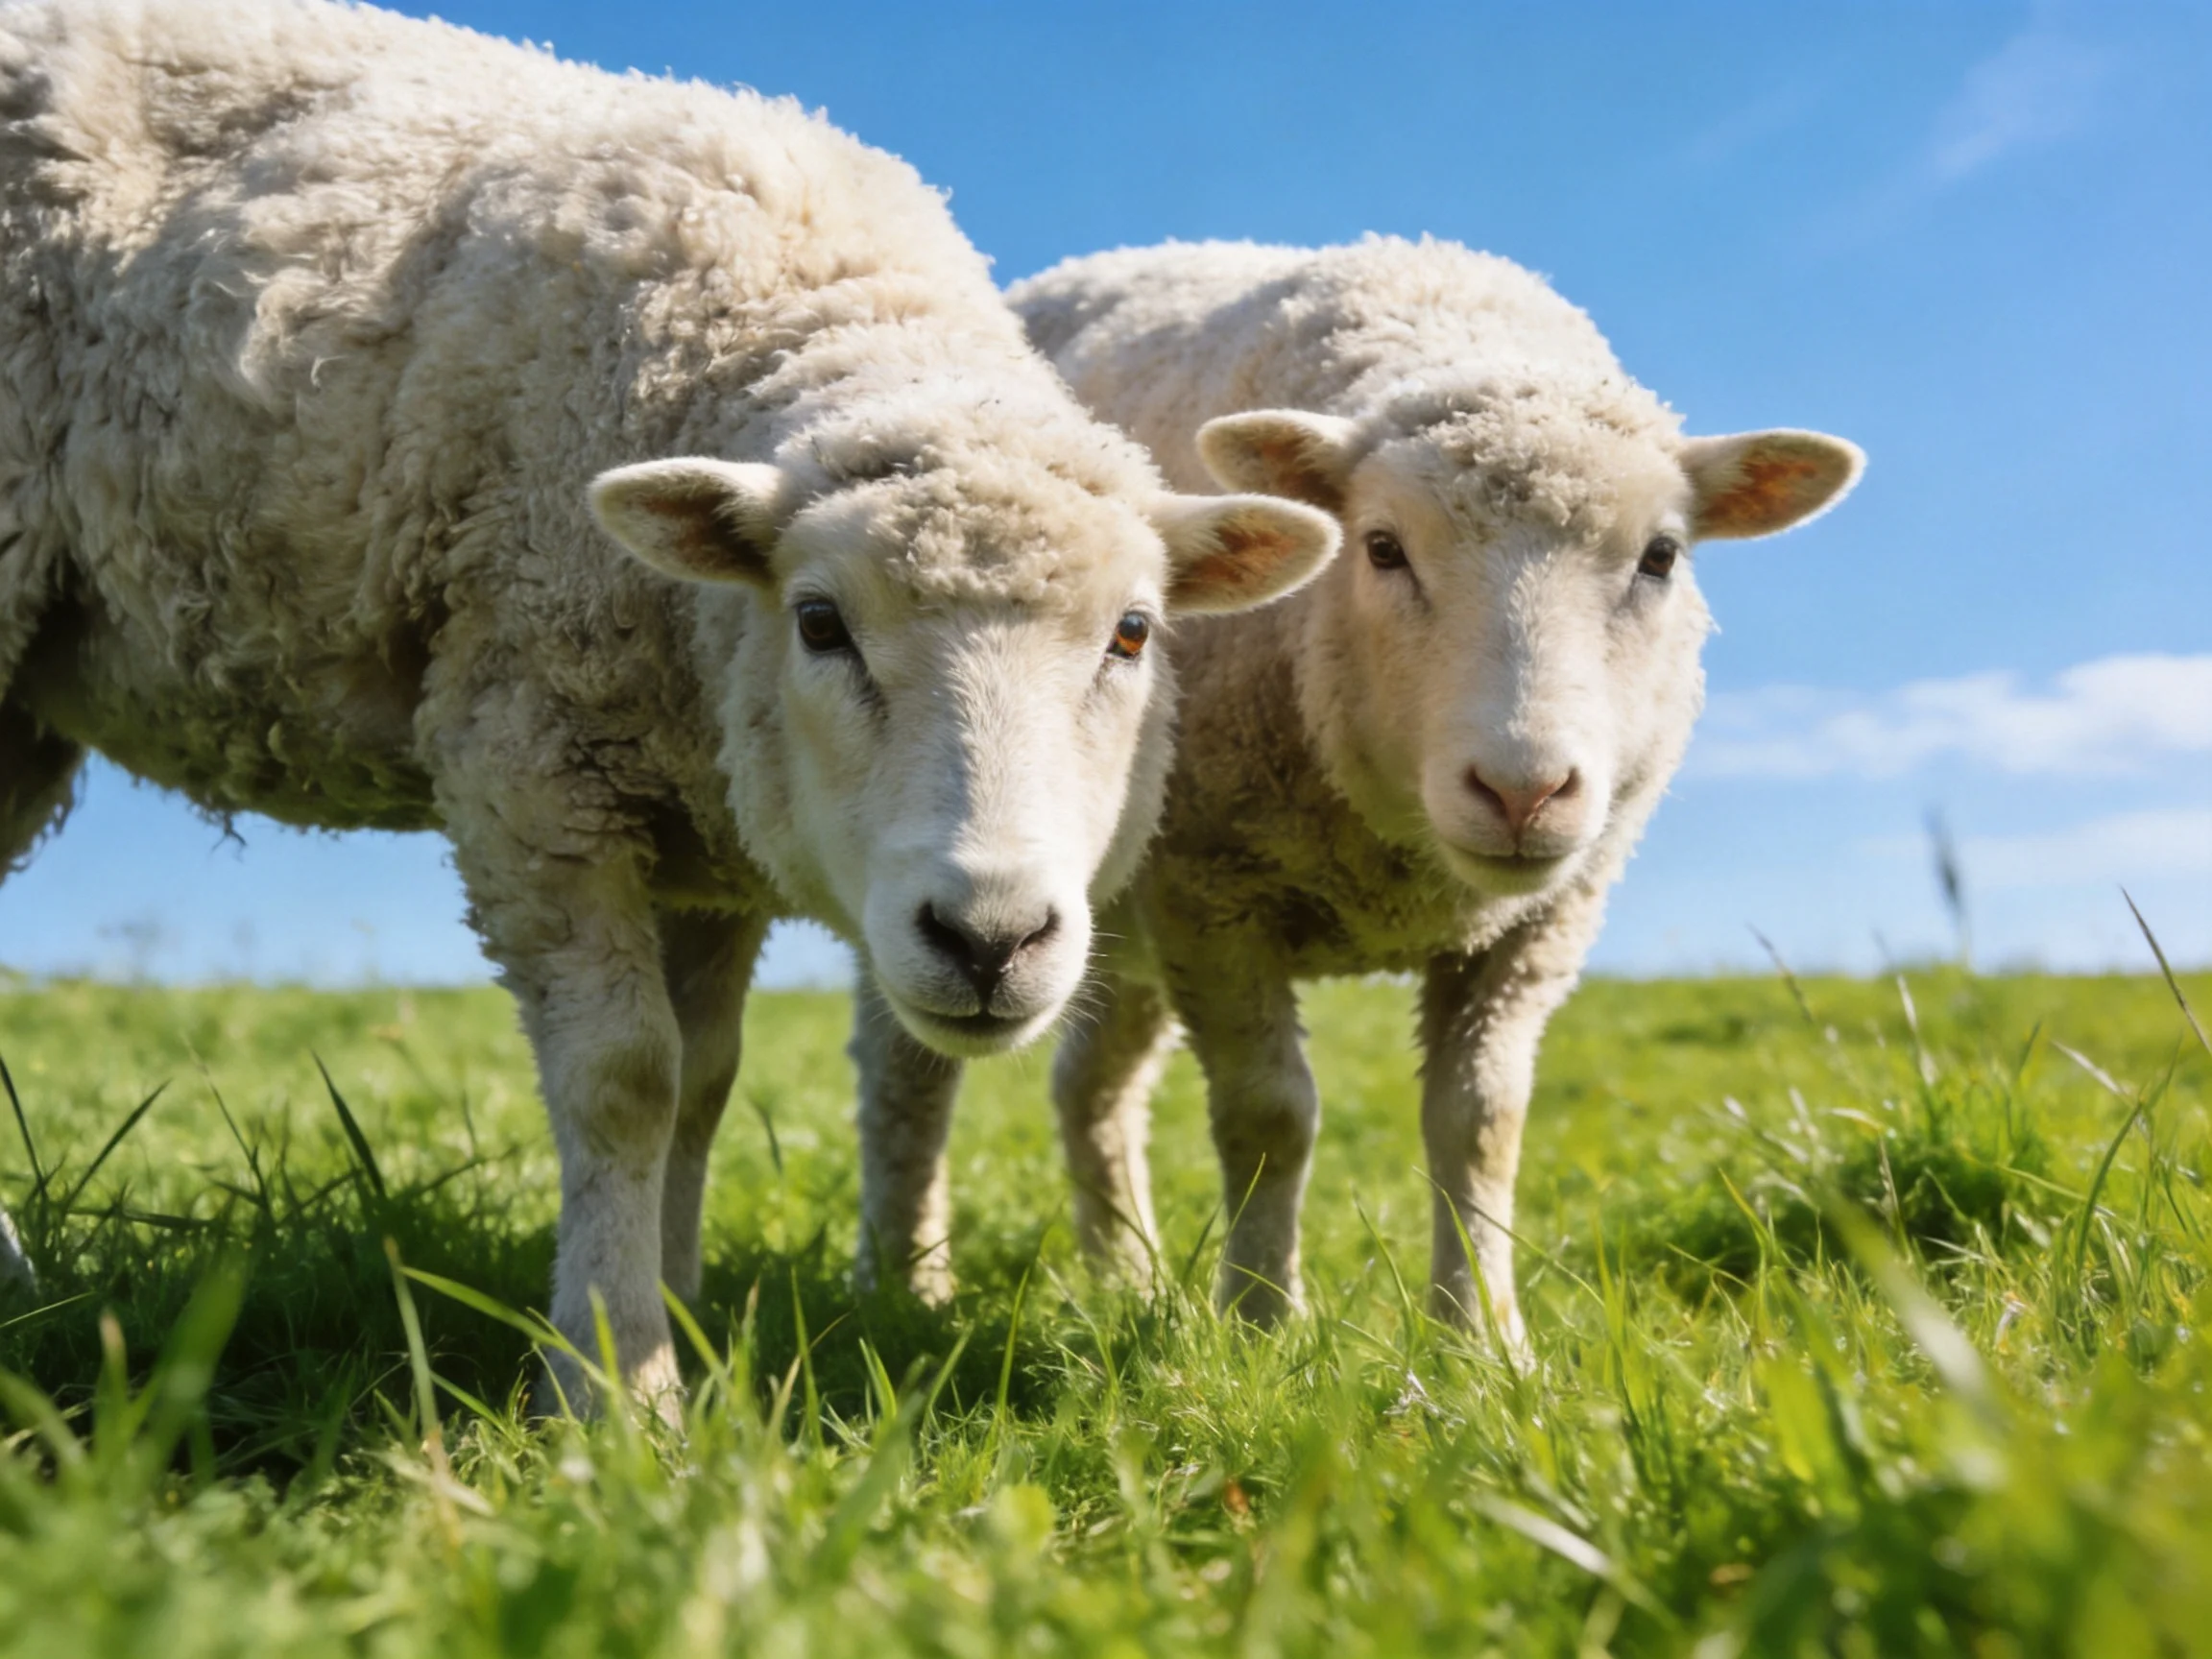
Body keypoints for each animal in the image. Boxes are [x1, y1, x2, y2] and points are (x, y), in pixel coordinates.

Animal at [0, 3, 1336, 1400]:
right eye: (819, 623)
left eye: (1134, 633)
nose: (989, 938)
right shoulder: (528, 765)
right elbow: (625, 1080)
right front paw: (613, 1377)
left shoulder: (707, 812)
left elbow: (705, 1080)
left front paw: (677, 1307)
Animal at [858, 235, 1860, 1337]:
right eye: (1381, 548)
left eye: (1662, 556)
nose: (1522, 792)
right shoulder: (1212, 895)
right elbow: (1269, 1114)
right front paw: (1260, 1322)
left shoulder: (1537, 926)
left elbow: (1479, 1120)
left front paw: (1482, 1335)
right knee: (907, 1077)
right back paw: (902, 1289)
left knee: (1093, 1083)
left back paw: (1126, 1277)